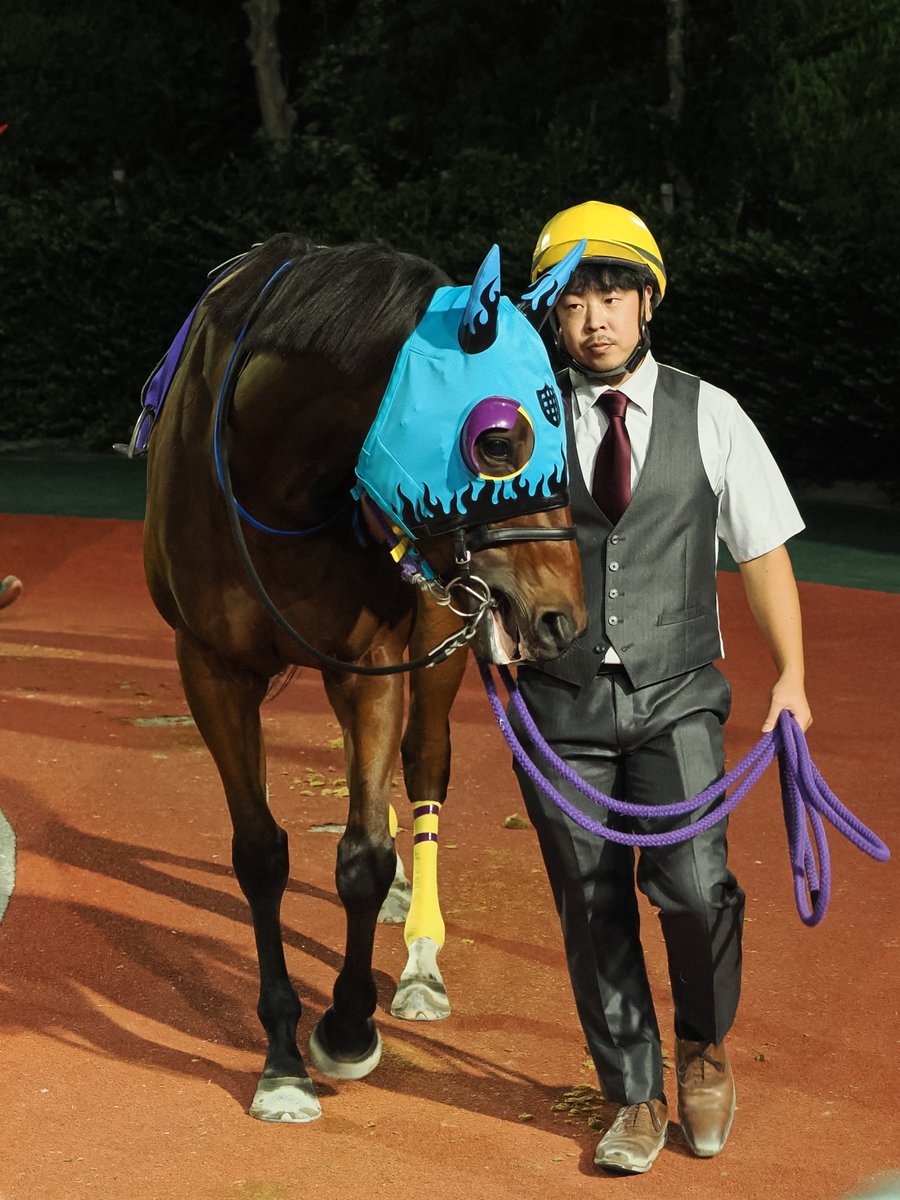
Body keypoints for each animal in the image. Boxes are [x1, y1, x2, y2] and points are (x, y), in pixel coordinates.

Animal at [140, 231, 587, 1122]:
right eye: (496, 442)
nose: (562, 613)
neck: (271, 477)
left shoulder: (378, 659)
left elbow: (365, 857)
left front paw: (347, 1028)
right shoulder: (210, 667)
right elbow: (260, 853)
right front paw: (281, 1058)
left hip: (444, 626)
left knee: (424, 764)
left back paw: (418, 959)